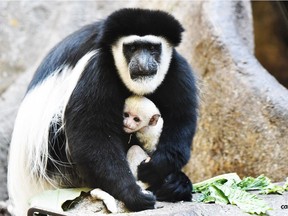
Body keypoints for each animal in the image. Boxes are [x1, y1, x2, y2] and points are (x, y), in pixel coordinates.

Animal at [8, 7, 198, 213]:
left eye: (153, 48)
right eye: (132, 48)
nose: (142, 63)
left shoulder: (177, 68)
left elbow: (181, 120)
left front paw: (158, 168)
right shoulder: (96, 69)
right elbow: (92, 137)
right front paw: (132, 193)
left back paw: (176, 184)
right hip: (55, 163)